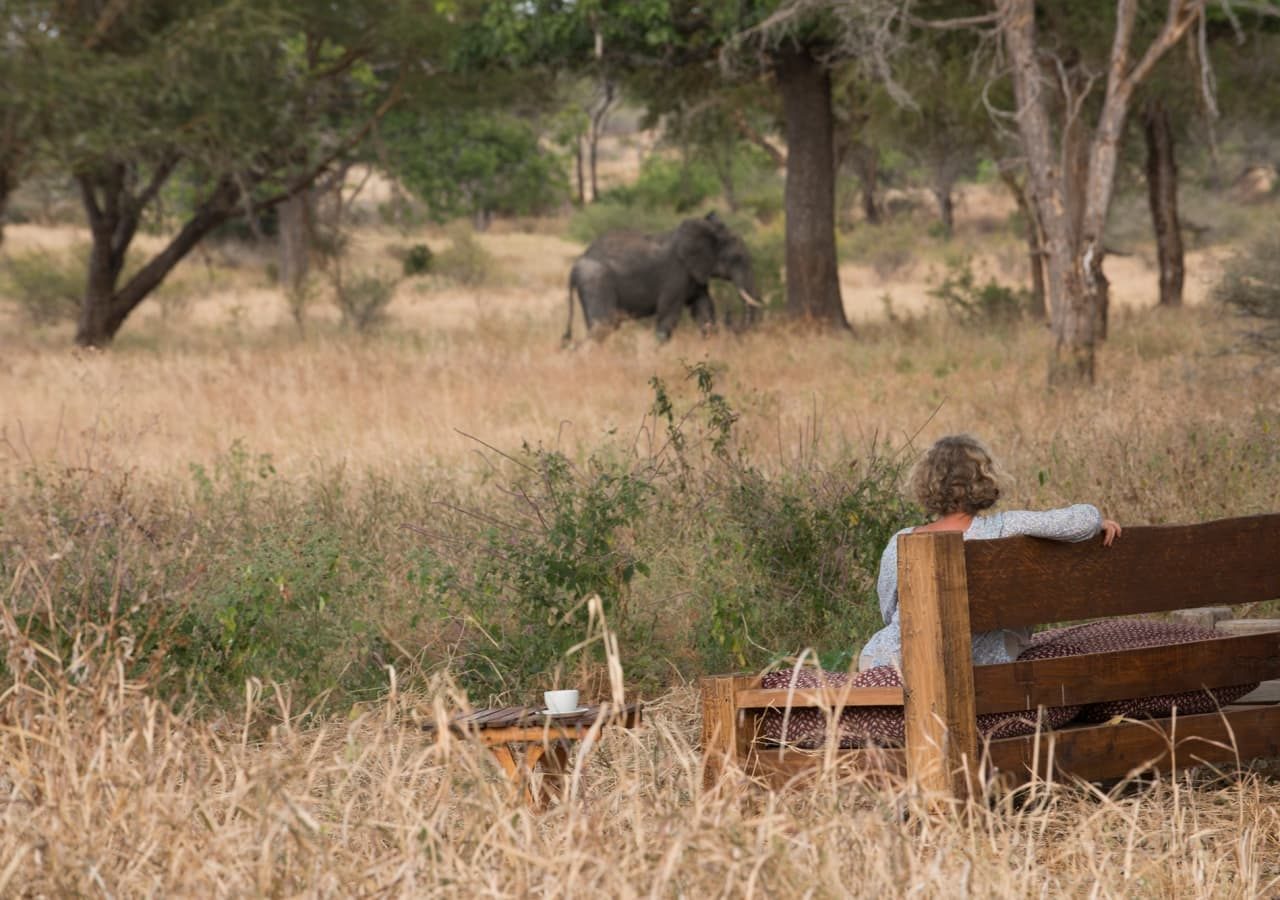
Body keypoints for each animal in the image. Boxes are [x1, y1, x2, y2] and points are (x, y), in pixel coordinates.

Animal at [563, 211, 757, 345]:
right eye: (737, 258)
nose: (731, 317)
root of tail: (575, 265)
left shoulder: (695, 275)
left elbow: (703, 309)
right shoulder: (676, 274)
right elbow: (668, 316)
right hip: (595, 281)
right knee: (603, 326)